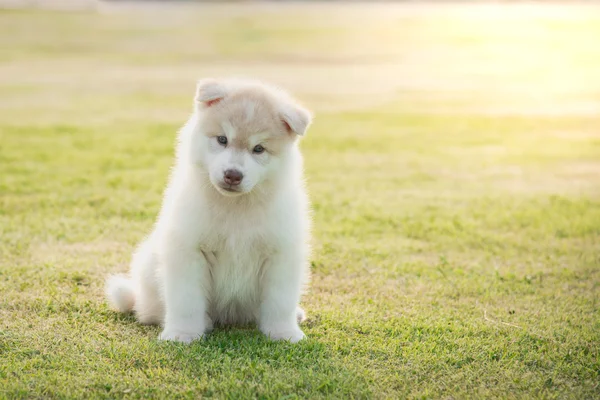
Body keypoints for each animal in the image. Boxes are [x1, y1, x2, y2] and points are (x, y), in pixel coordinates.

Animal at [106, 79, 314, 344]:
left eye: (259, 149)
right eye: (222, 139)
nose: (233, 175)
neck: (235, 207)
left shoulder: (280, 254)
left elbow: (280, 302)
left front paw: (284, 333)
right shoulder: (189, 251)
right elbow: (186, 300)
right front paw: (182, 334)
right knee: (153, 310)